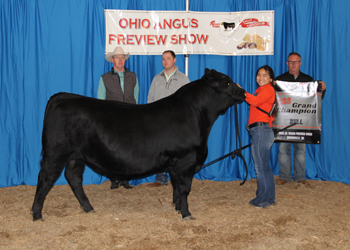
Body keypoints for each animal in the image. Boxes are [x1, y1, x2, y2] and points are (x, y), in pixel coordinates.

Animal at [32, 68, 246, 221]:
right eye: (228, 82)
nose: (244, 92)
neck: (197, 114)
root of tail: (64, 96)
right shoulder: (186, 160)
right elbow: (185, 188)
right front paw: (186, 214)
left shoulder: (176, 164)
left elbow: (177, 187)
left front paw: (177, 207)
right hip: (55, 153)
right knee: (45, 179)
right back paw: (36, 214)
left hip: (76, 156)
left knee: (73, 178)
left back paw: (88, 208)